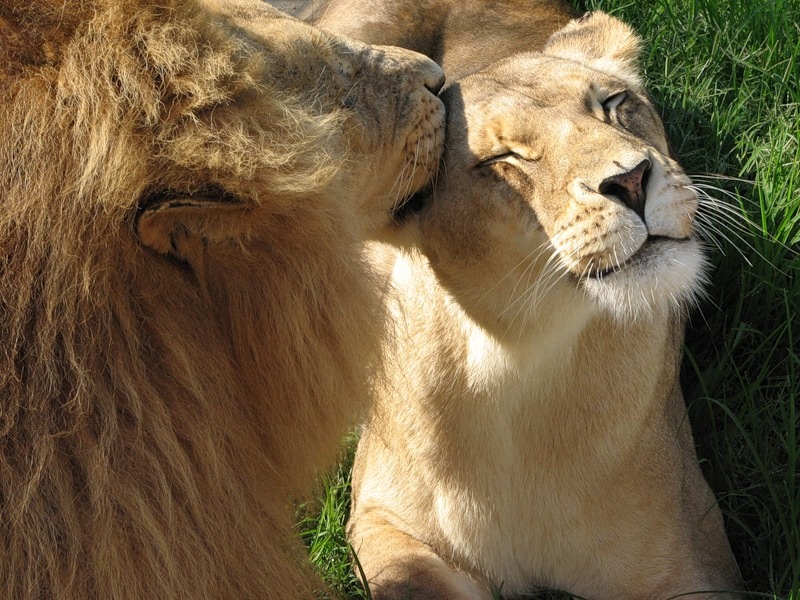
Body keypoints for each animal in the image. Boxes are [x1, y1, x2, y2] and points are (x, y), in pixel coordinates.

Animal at [317, 3, 744, 599]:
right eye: (505, 157)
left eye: (613, 103)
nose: (633, 181)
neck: (515, 356)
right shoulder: (384, 520)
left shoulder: (695, 561)